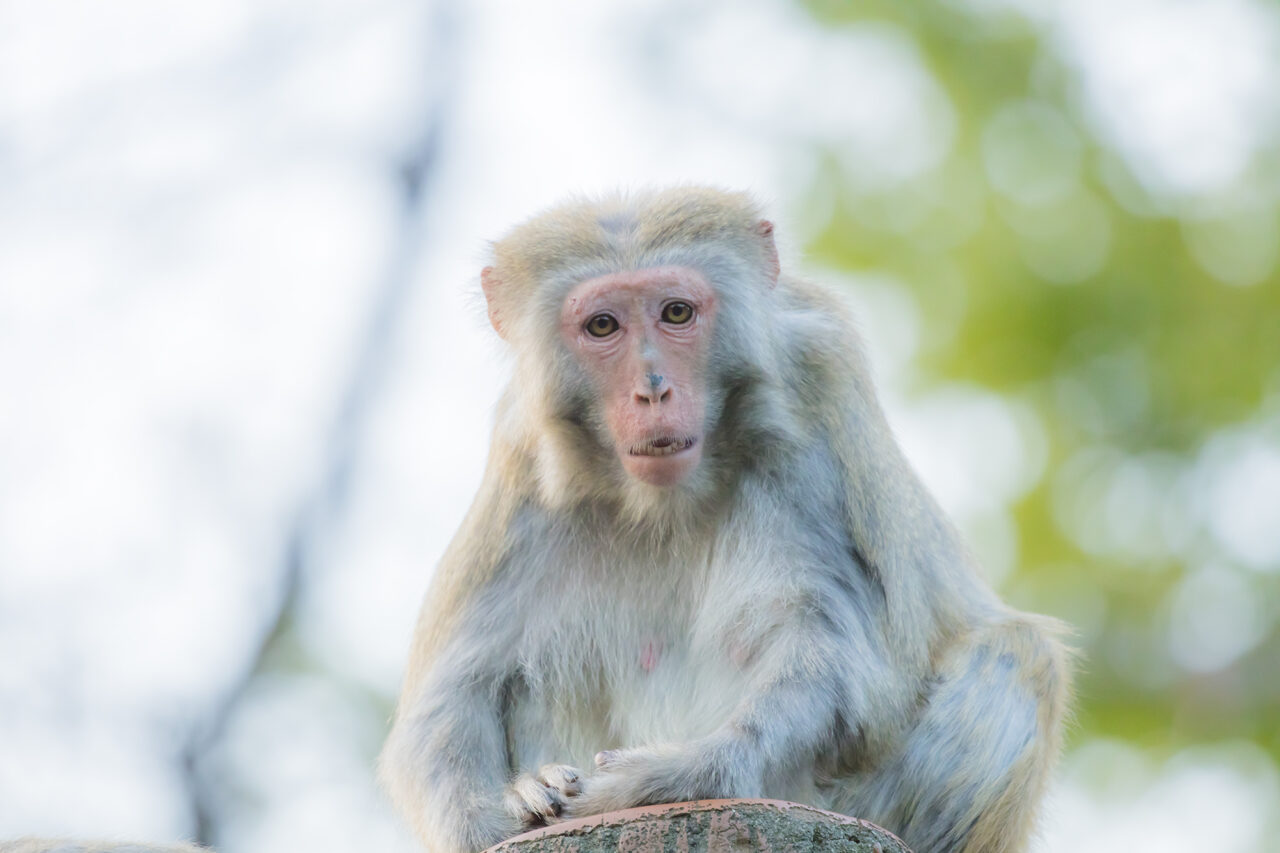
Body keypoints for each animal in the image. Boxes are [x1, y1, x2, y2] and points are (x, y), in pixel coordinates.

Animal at [376, 188, 1070, 850]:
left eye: (676, 313)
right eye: (602, 325)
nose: (653, 389)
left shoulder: (817, 392)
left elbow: (840, 658)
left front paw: (677, 774)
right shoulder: (522, 458)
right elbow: (453, 694)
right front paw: (506, 805)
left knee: (1017, 652)